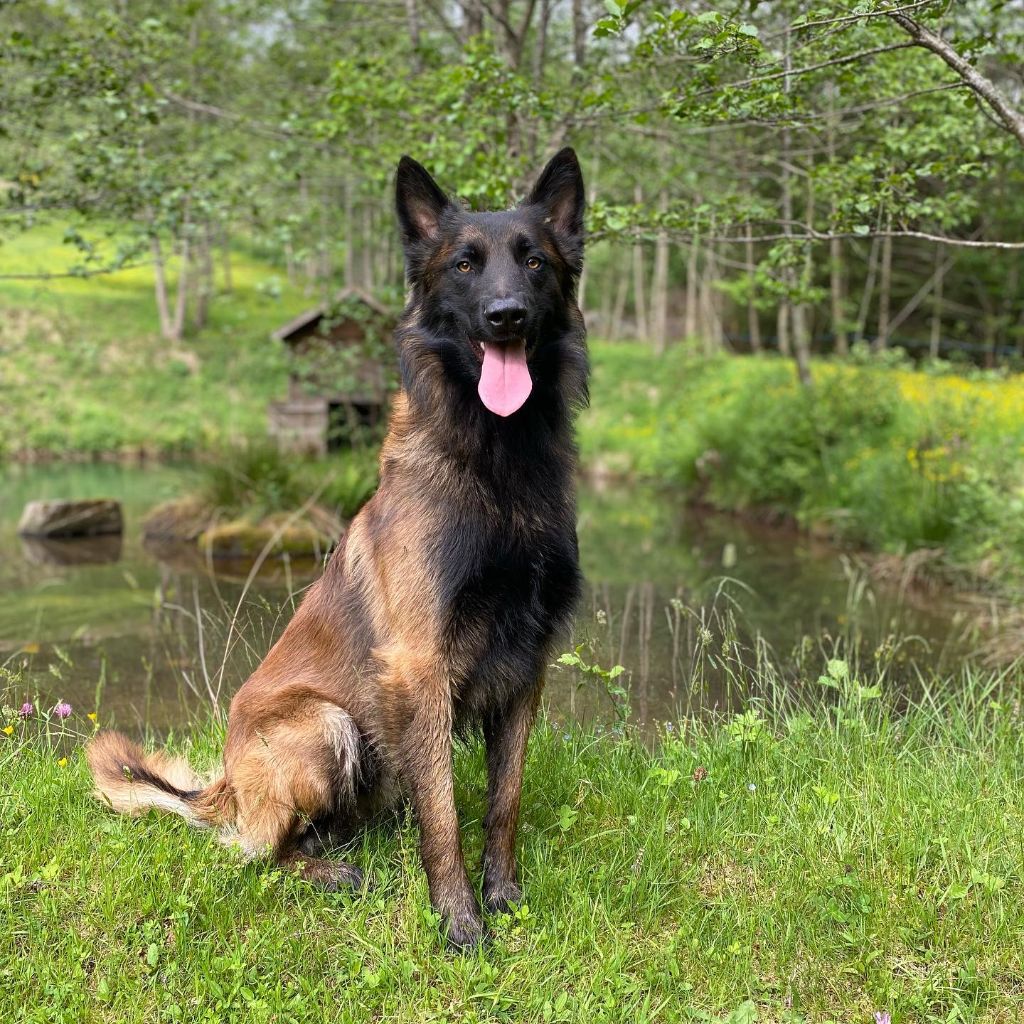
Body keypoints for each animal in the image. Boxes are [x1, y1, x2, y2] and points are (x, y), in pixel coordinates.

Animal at [89, 146, 593, 950]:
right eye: (464, 265)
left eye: (535, 262)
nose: (506, 316)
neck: (498, 465)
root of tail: (224, 786)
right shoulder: (419, 667)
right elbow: (444, 815)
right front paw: (460, 923)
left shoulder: (525, 665)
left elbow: (503, 800)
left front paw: (504, 895)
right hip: (329, 725)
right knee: (259, 853)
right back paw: (331, 870)